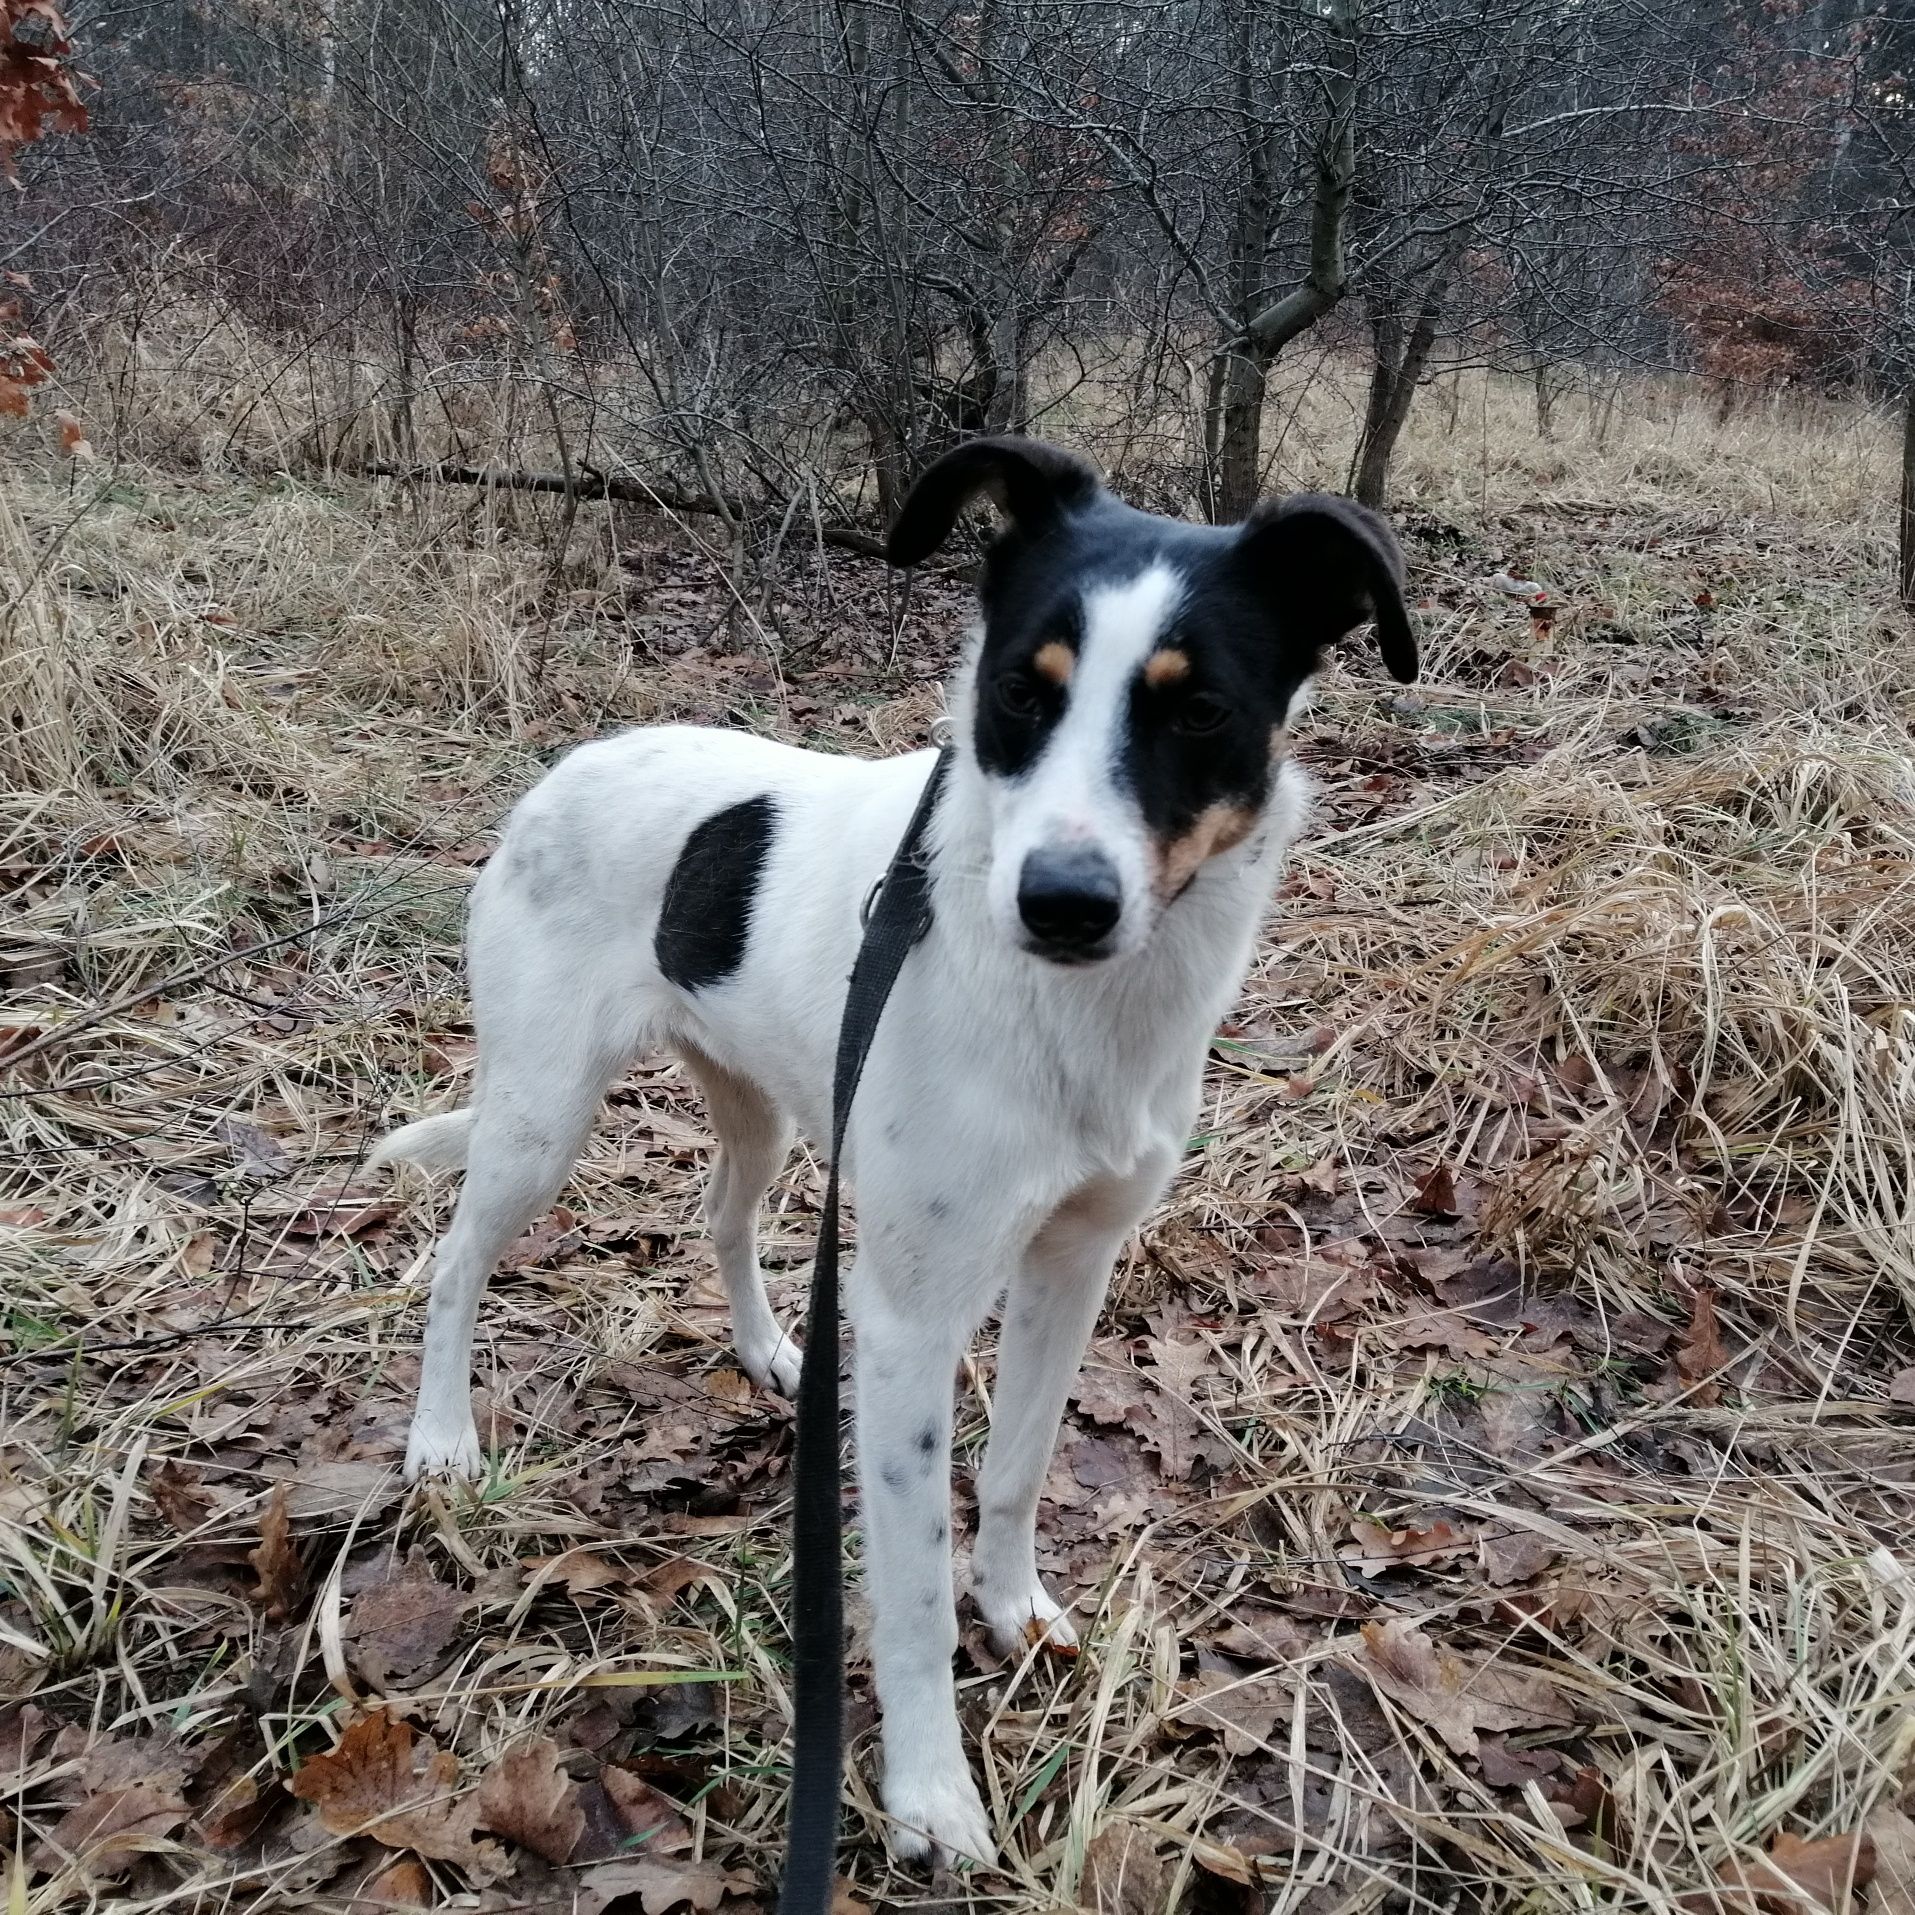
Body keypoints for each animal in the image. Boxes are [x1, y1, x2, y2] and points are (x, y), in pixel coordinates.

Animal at [377, 440, 1424, 1861]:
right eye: (1018, 692)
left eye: (1199, 711)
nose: (1061, 903)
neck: (1075, 1013)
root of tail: (569, 763)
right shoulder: (912, 1323)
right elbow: (912, 1590)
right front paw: (930, 1792)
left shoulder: (1070, 1266)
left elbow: (1020, 1467)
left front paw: (1016, 1610)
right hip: (542, 1118)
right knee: (453, 1264)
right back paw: (441, 1441)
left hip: (763, 1104)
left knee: (721, 1216)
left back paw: (769, 1352)